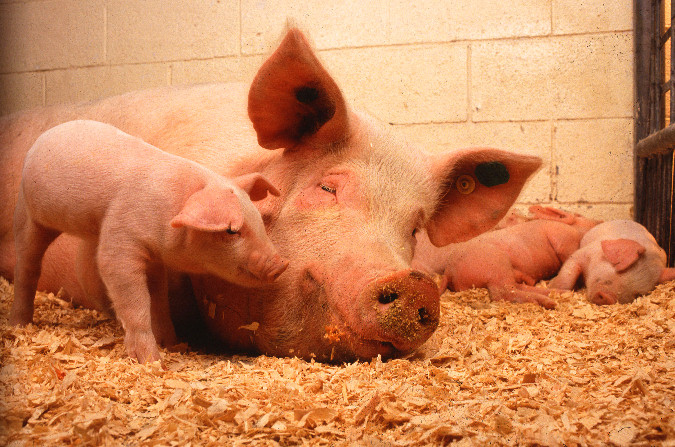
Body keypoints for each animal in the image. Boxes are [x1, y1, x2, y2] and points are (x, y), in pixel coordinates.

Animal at [10, 120, 288, 362]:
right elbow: (134, 299)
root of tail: (43, 138)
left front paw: (173, 345)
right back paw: (20, 325)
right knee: (27, 266)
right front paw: (152, 361)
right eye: (231, 231)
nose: (281, 264)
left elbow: (159, 301)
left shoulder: (155, 259)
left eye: (258, 219)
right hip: (28, 214)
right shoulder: (120, 239)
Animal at [412, 206, 602, 308]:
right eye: (581, 216)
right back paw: (551, 302)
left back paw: (554, 294)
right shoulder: (563, 236)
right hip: (497, 263)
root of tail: (449, 272)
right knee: (503, 292)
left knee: (516, 287)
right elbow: (567, 253)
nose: (599, 221)